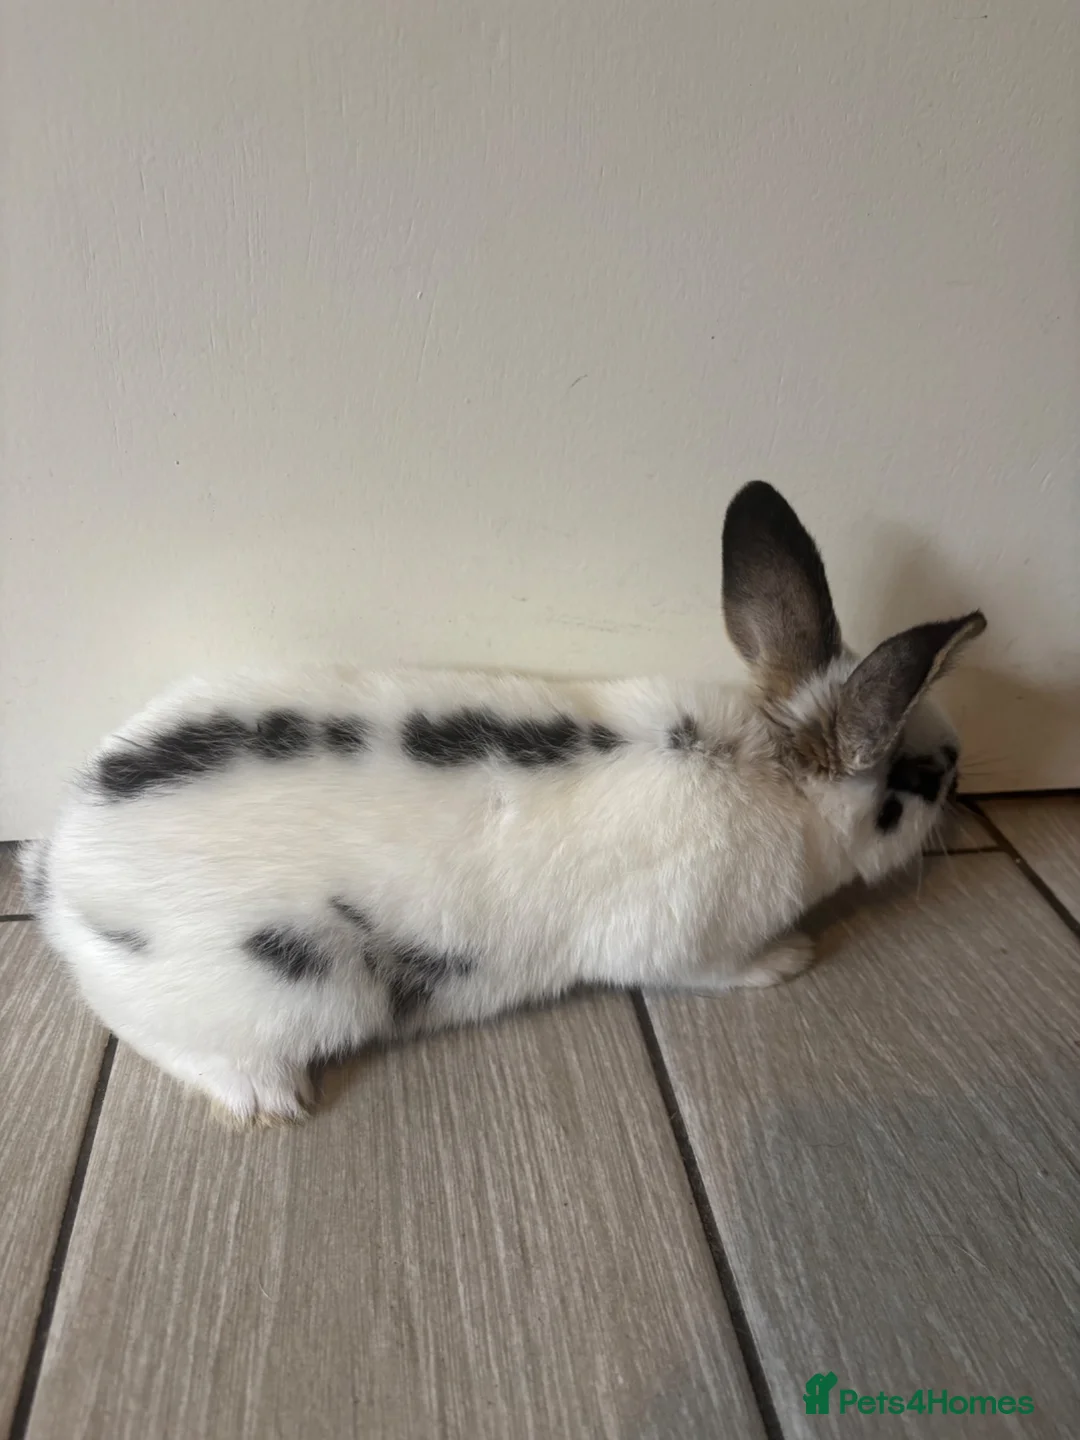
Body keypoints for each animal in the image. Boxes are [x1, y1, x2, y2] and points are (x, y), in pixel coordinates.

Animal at [23, 481, 986, 1127]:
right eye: (914, 783)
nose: (964, 768)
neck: (774, 770)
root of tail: (63, 872)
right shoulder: (686, 942)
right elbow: (716, 972)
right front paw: (791, 960)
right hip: (277, 995)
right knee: (149, 1032)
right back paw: (268, 1100)